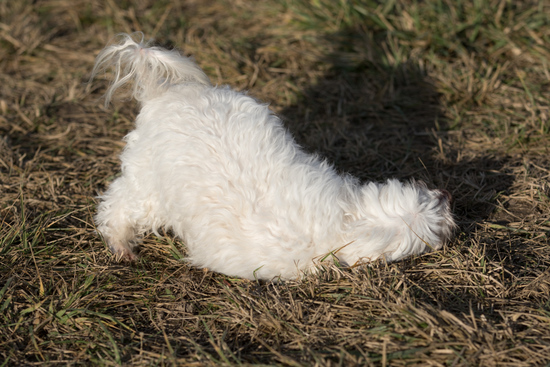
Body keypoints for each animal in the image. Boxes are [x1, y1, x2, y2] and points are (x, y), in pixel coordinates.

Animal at [91, 33, 458, 282]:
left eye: (419, 194)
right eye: (433, 231)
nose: (447, 194)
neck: (340, 224)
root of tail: (165, 94)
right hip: (148, 183)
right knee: (116, 206)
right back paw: (121, 245)